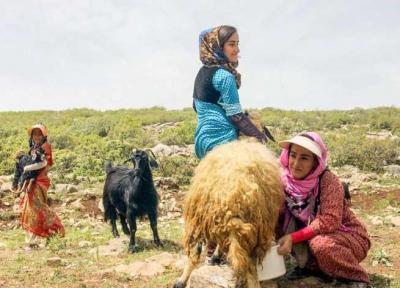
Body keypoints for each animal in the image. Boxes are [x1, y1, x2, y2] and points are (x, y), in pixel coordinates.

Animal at [173, 140, 282, 288]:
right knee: (248, 264)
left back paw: (181, 280)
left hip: (198, 220)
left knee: (195, 252)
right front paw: (216, 256)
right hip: (256, 230)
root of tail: (233, 197)